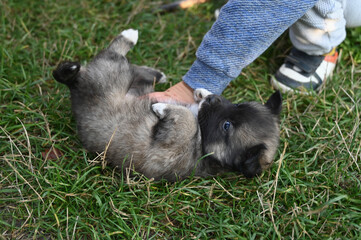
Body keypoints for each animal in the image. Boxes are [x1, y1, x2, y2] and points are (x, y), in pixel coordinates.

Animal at [52, 29, 282, 181]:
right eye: (237, 105)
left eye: (227, 126)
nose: (212, 100)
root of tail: (75, 88)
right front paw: (202, 93)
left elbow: (188, 121)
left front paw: (161, 108)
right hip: (126, 79)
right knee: (134, 70)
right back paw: (156, 72)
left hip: (110, 74)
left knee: (113, 55)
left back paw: (129, 37)